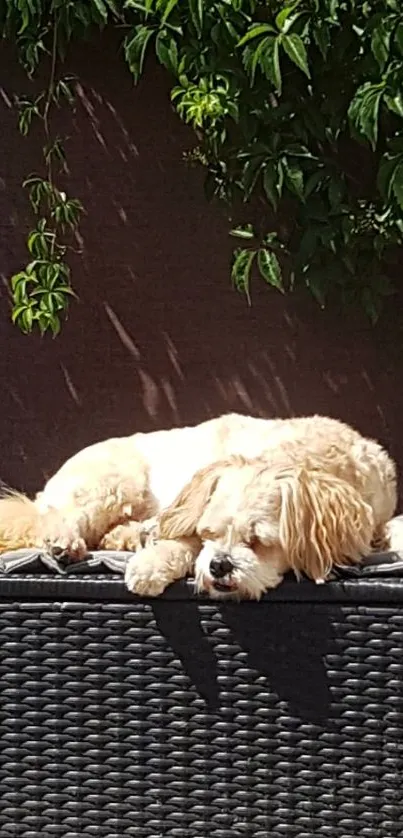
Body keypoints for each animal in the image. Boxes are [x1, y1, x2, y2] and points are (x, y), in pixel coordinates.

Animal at [0, 412, 398, 600]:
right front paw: (151, 567)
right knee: (57, 518)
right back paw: (64, 542)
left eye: (259, 542)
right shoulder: (191, 508)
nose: (220, 565)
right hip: (116, 480)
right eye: (210, 532)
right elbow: (181, 543)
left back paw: (128, 536)